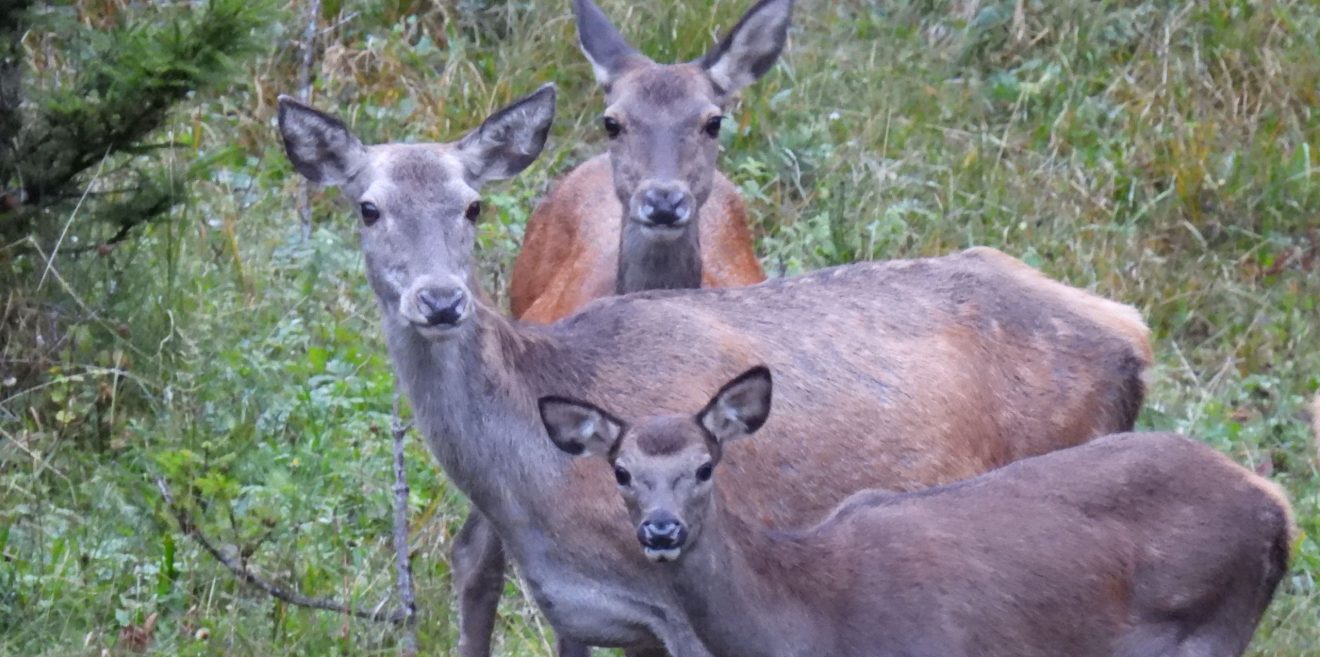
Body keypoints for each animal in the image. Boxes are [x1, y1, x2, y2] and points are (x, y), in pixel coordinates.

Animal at [278, 87, 1156, 657]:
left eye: (472, 205)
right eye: (367, 207)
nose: (440, 299)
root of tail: (1134, 334)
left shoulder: (690, 614)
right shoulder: (575, 611)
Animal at [541, 366, 1293, 657]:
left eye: (703, 466)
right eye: (622, 472)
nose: (661, 529)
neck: (813, 622)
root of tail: (1280, 513)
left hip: (1208, 628)